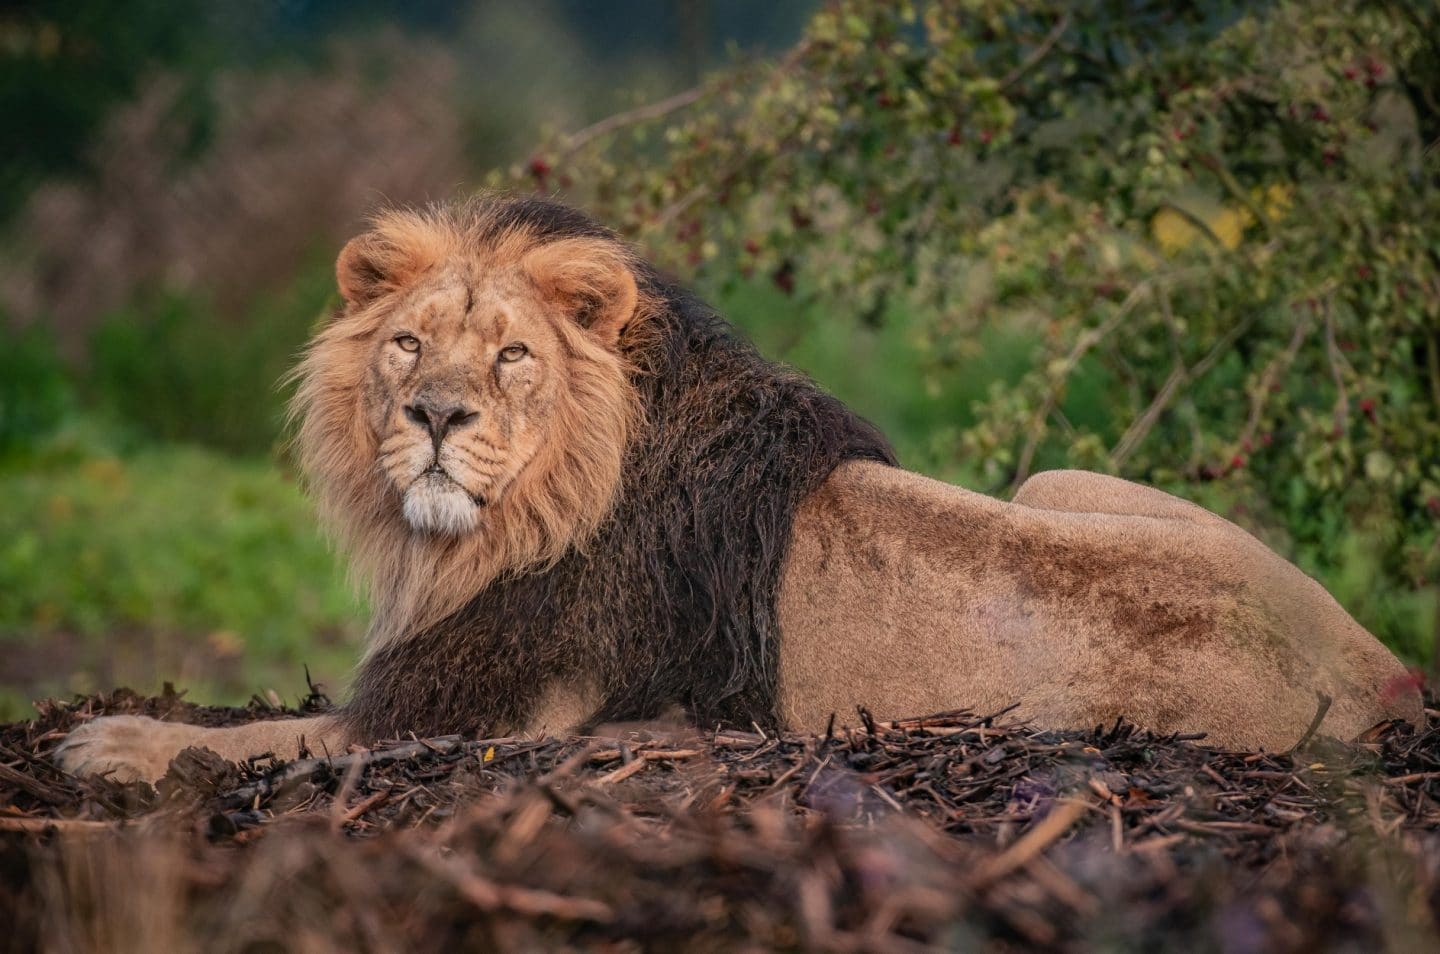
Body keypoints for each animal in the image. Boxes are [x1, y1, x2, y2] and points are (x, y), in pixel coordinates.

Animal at [56, 195, 1416, 783]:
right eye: (406, 345)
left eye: (510, 356)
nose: (436, 416)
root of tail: (1382, 668)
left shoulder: (478, 714)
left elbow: (256, 739)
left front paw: (115, 740)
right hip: (1055, 474)